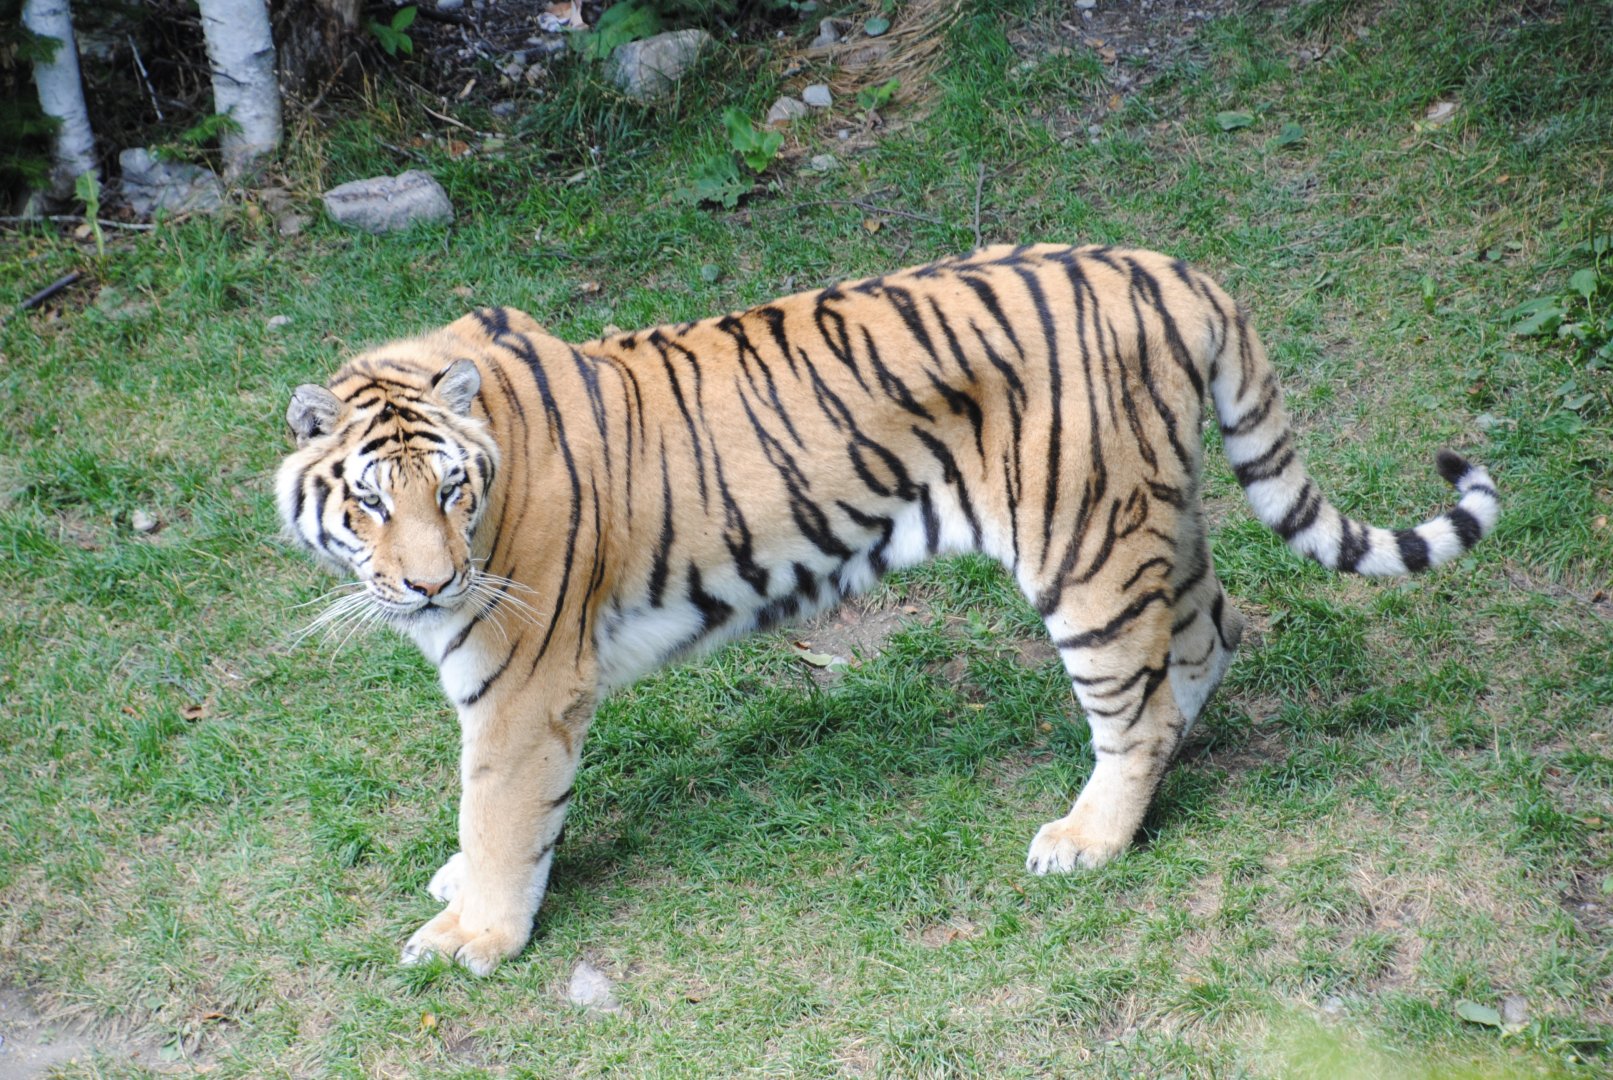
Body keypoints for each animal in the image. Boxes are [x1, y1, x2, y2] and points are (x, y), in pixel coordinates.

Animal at [276, 244, 1499, 974]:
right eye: (373, 501)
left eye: (452, 490)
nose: (430, 584)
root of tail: (1160, 267)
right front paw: (462, 891)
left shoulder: (520, 683)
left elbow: (498, 809)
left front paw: (471, 937)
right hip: (1154, 514)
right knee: (1209, 633)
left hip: (1082, 547)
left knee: (1138, 700)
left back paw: (1087, 839)